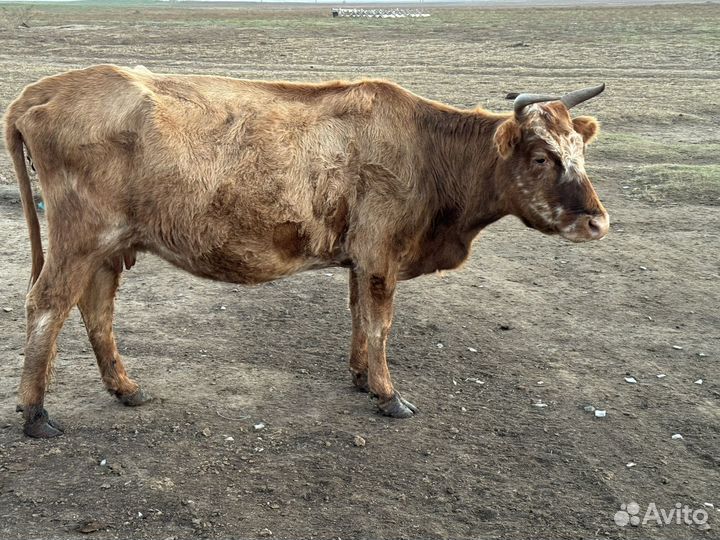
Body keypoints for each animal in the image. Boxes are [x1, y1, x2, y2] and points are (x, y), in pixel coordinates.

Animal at [4, 65, 609, 438]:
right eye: (541, 157)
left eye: (580, 152)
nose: (597, 221)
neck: (425, 149)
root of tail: (42, 91)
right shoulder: (381, 254)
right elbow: (381, 324)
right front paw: (389, 395)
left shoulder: (360, 259)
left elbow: (360, 319)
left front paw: (362, 378)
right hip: (79, 238)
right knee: (47, 306)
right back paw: (35, 412)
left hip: (108, 247)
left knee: (95, 310)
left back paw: (125, 389)